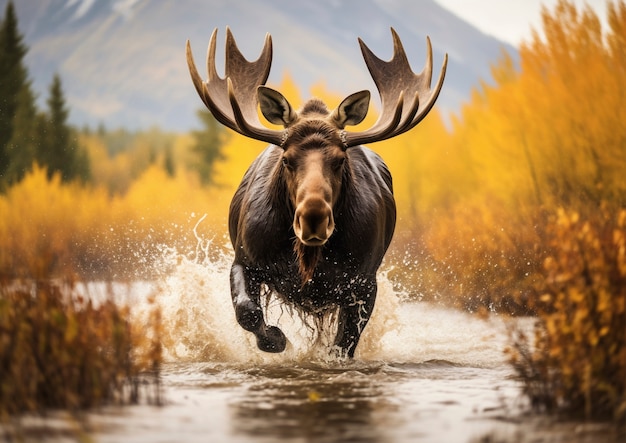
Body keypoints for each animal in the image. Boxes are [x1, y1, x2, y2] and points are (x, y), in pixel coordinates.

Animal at [184, 26, 444, 358]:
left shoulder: (363, 283)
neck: (308, 259)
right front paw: (276, 339)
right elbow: (247, 312)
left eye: (340, 160)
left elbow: (344, 344)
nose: (313, 219)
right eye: (286, 159)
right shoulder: (243, 259)